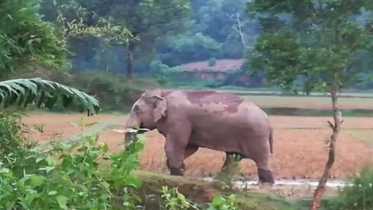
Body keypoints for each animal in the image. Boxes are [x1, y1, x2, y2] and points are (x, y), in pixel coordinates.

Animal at [122, 88, 274, 184]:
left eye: (137, 109)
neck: (163, 92)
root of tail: (268, 120)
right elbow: (190, 147)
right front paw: (180, 169)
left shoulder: (178, 119)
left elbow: (175, 145)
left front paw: (177, 173)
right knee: (232, 158)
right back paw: (221, 179)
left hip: (256, 136)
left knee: (261, 160)